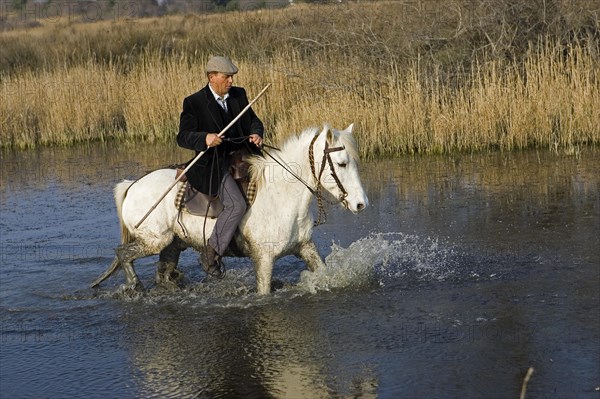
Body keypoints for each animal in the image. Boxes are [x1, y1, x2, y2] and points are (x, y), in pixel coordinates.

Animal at [91, 123, 368, 296]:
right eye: (341, 163)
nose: (361, 204)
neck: (282, 195)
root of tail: (131, 185)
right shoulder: (263, 259)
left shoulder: (305, 247)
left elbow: (323, 272)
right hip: (153, 240)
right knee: (123, 253)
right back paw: (134, 285)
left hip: (172, 245)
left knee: (162, 274)